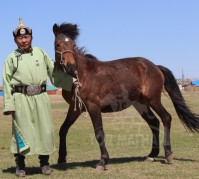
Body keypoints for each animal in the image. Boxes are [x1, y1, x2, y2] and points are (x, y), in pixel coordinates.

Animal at [52, 22, 199, 169]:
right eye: (58, 44)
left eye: (73, 45)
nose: (71, 66)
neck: (82, 75)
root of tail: (155, 67)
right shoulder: (75, 108)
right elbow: (63, 129)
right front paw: (61, 159)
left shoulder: (93, 107)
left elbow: (99, 133)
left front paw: (103, 161)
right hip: (141, 104)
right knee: (154, 122)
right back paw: (152, 154)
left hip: (153, 100)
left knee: (166, 118)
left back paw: (168, 154)